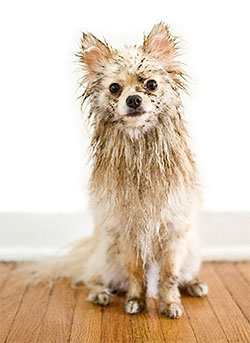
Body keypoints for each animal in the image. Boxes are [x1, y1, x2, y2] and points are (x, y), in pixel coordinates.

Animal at [27, 23, 208, 320]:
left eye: (151, 85)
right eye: (114, 88)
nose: (133, 99)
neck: (140, 149)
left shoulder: (174, 232)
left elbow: (170, 276)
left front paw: (171, 304)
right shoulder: (127, 234)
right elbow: (135, 272)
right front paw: (136, 301)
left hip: (192, 251)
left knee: (182, 274)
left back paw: (193, 284)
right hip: (107, 254)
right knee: (92, 277)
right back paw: (100, 293)